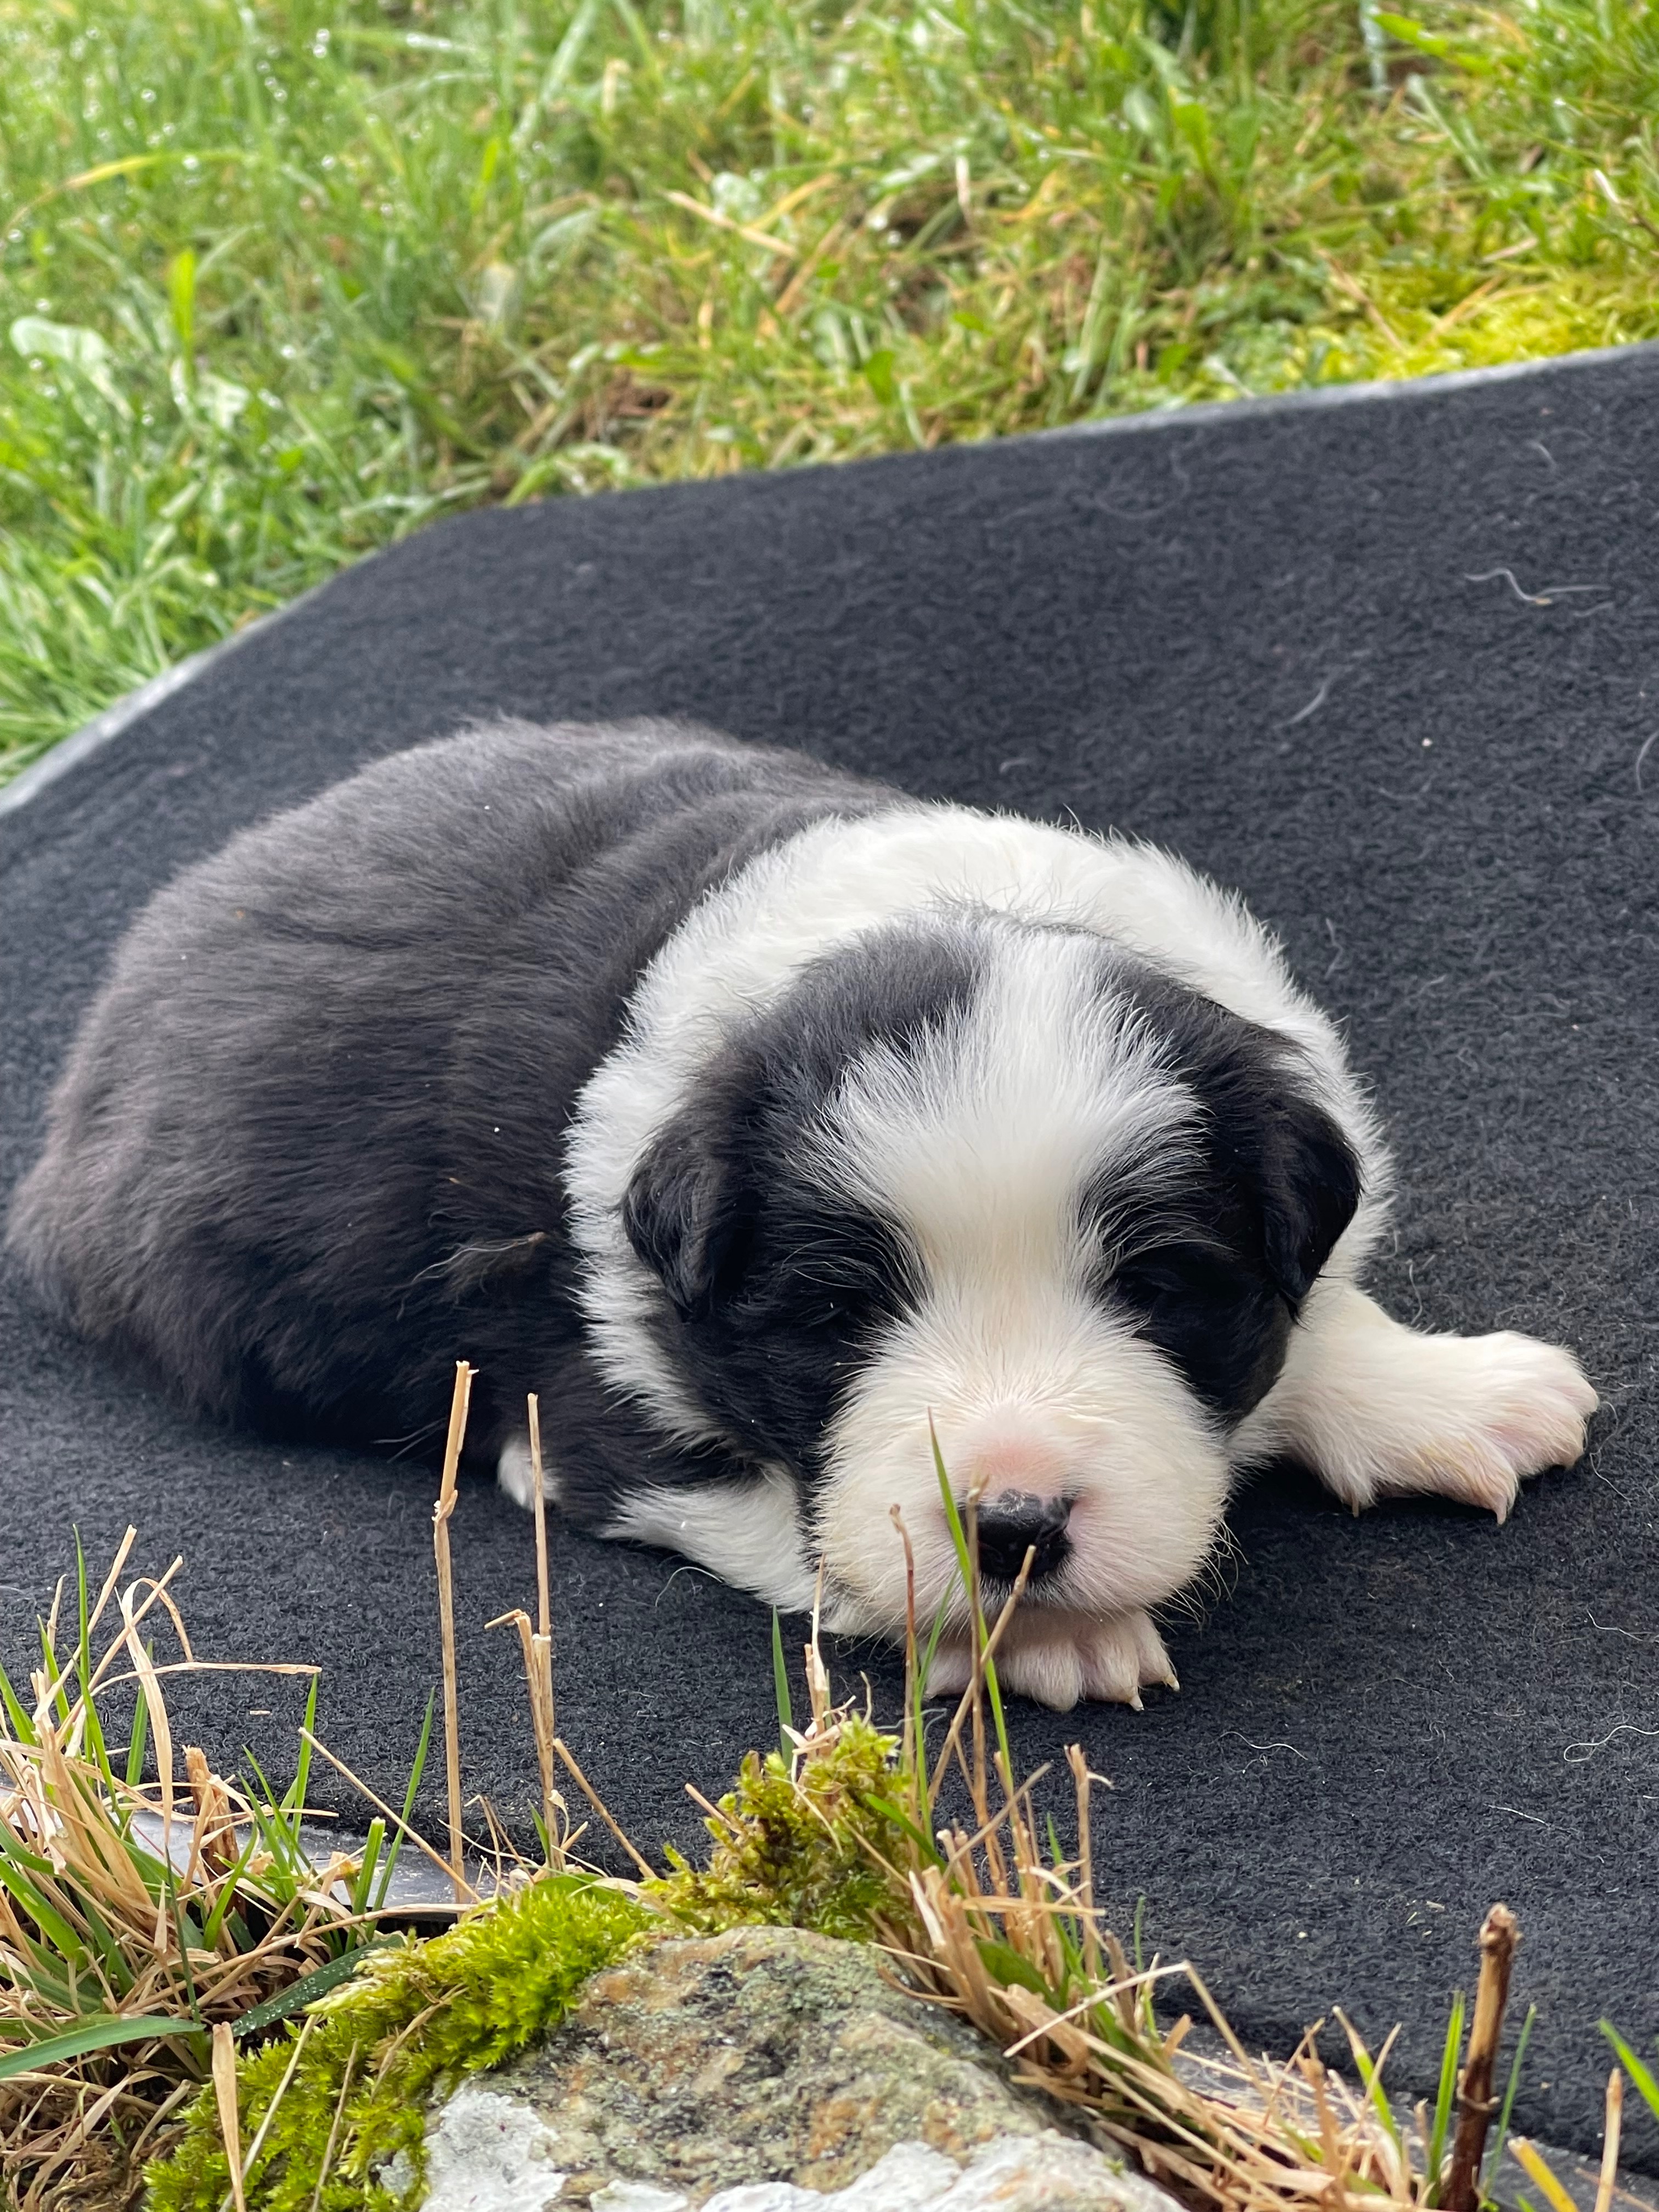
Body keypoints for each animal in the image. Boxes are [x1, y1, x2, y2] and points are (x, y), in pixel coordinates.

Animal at [9, 725, 1601, 1707]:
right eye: (838, 1314)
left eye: (1163, 1289)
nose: (1016, 1530)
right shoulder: (586, 1431)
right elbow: (818, 1535)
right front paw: (1053, 1637)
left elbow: (1321, 1314)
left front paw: (1441, 1391)